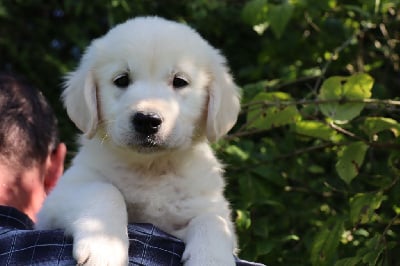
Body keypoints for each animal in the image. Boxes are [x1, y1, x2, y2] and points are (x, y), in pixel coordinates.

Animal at [36, 17, 241, 266]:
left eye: (179, 81)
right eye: (122, 80)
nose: (147, 120)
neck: (149, 169)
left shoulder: (204, 202)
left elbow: (213, 220)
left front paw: (210, 259)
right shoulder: (61, 196)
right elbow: (104, 190)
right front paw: (105, 246)